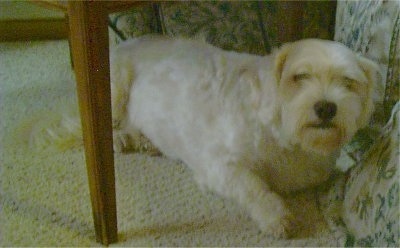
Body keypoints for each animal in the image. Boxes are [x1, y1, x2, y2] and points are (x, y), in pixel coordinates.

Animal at [108, 35, 378, 237]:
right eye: (300, 76)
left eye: (348, 81)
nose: (326, 107)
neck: (286, 138)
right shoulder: (219, 167)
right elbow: (253, 186)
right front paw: (276, 216)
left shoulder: (318, 172)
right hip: (116, 86)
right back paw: (120, 138)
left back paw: (145, 141)